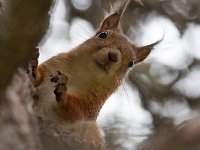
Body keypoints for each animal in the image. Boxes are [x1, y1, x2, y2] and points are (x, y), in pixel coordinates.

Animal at [30, 0, 159, 123]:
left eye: (131, 63)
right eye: (103, 34)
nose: (113, 56)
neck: (83, 73)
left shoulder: (93, 104)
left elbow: (77, 112)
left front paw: (63, 92)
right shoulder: (53, 66)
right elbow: (38, 78)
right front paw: (33, 67)